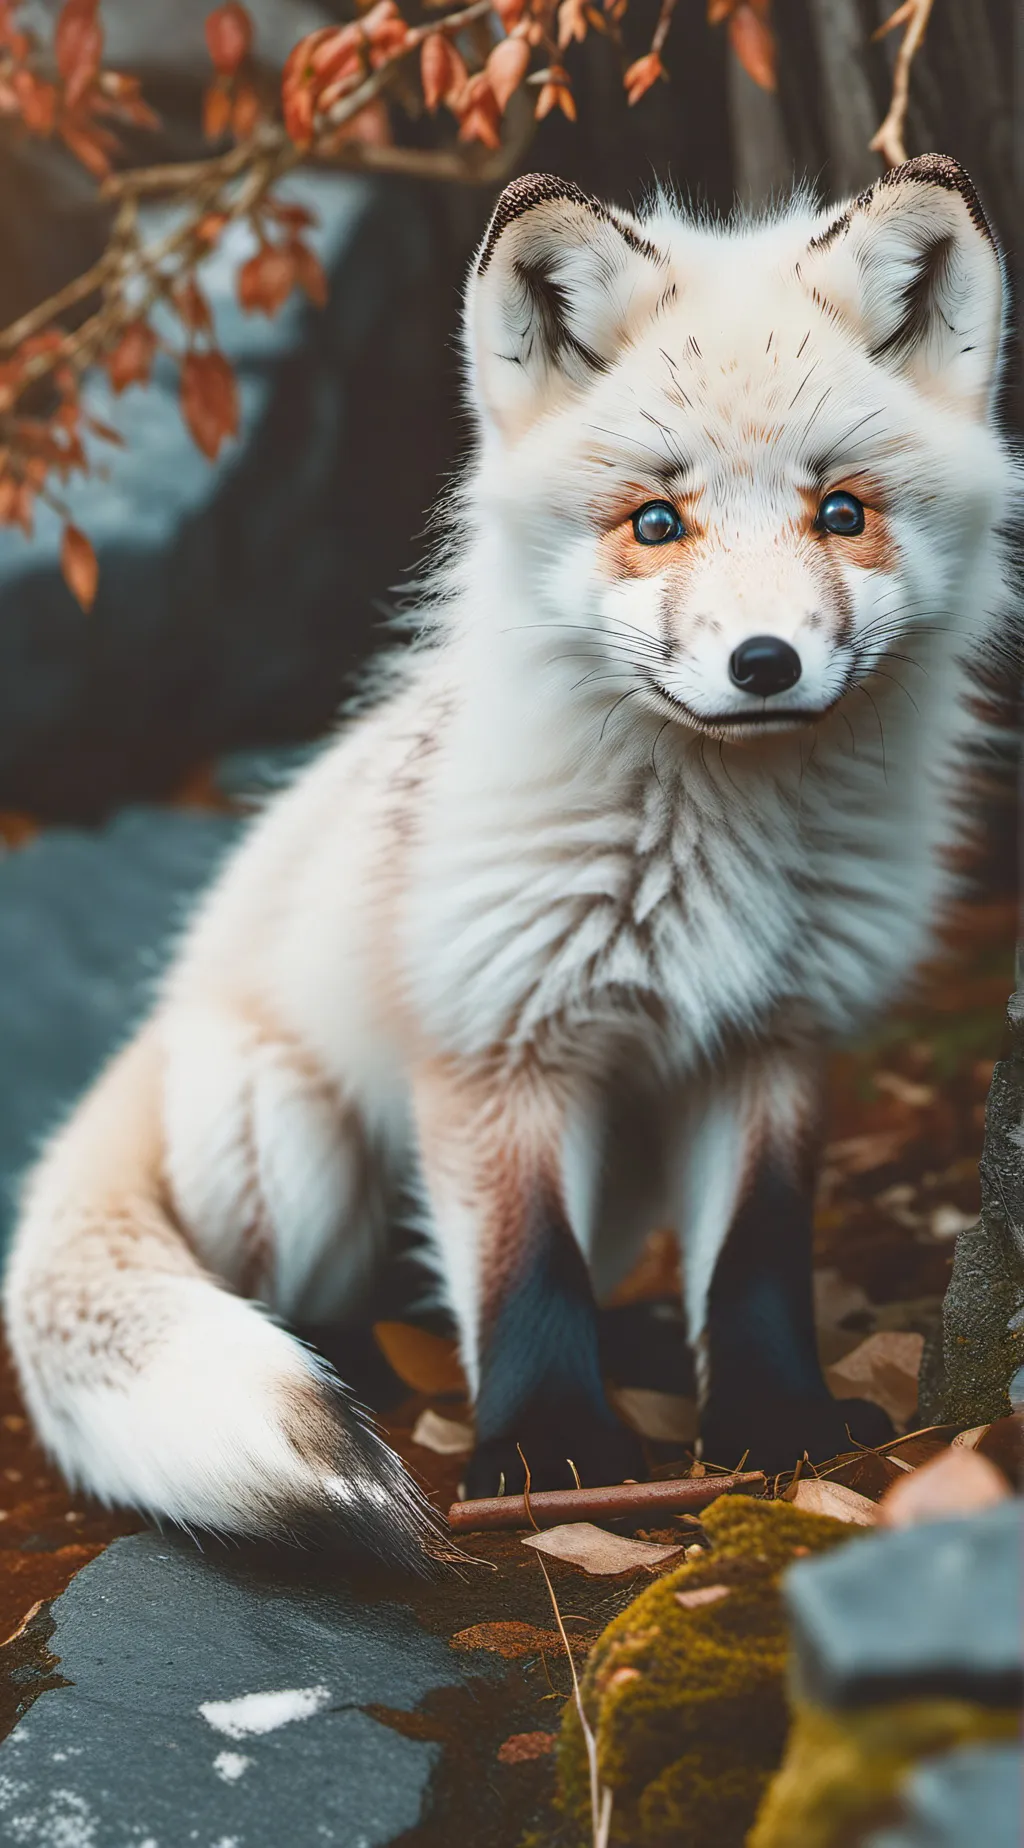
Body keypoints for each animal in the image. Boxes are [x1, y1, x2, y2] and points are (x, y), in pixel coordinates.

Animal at [3, 154, 1018, 1567]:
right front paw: (546, 1452)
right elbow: (524, 1273)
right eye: (655, 520)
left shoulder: (773, 1038)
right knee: (364, 1294)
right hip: (285, 1142)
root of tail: (150, 1031)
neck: (717, 857)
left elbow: (754, 1260)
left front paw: (774, 1422)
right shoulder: (494, 1038)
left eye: (842, 514)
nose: (764, 663)